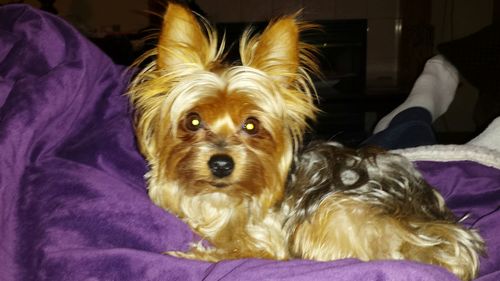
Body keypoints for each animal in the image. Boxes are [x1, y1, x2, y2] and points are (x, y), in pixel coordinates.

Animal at [129, 2, 484, 280]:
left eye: (251, 125)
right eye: (193, 120)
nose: (220, 164)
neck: (221, 198)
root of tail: (449, 233)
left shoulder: (270, 241)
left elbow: (240, 252)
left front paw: (188, 256)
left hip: (332, 212)